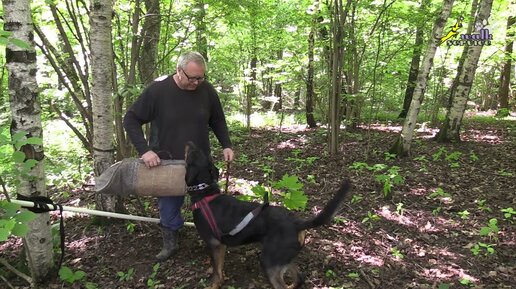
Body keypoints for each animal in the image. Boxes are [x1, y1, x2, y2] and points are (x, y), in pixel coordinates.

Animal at [185, 142, 350, 288]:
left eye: (190, 155)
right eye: (202, 152)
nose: (189, 141)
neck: (204, 193)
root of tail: (297, 223)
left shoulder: (214, 244)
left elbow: (216, 273)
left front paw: (213, 285)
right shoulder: (221, 246)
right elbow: (220, 270)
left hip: (269, 261)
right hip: (283, 258)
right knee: (299, 278)